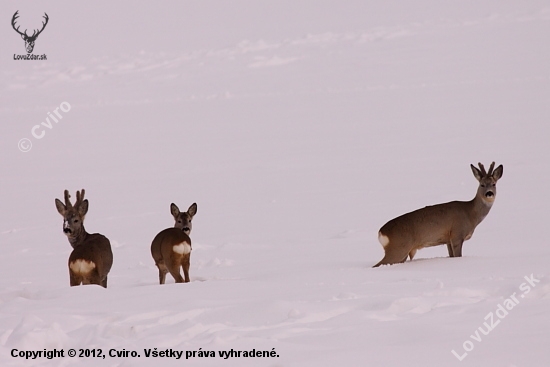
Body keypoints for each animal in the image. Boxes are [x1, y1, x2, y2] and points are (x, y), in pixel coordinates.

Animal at [376, 162, 504, 268]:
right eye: (482, 184)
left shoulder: (447, 240)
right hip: (398, 248)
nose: (489, 193)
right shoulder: (457, 234)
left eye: (494, 184)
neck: (471, 214)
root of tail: (381, 232)